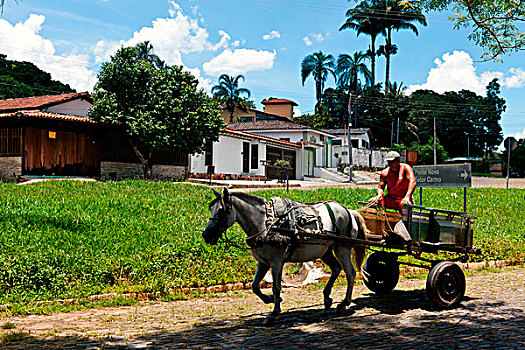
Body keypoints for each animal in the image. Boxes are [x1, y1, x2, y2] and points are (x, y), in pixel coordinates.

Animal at [201, 189, 368, 326]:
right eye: (211, 208)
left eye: (221, 211)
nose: (206, 235)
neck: (266, 224)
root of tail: (348, 211)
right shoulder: (263, 262)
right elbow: (255, 286)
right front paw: (269, 300)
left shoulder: (276, 262)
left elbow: (276, 287)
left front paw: (274, 313)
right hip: (325, 251)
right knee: (336, 269)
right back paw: (327, 297)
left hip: (342, 248)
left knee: (350, 273)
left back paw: (344, 303)